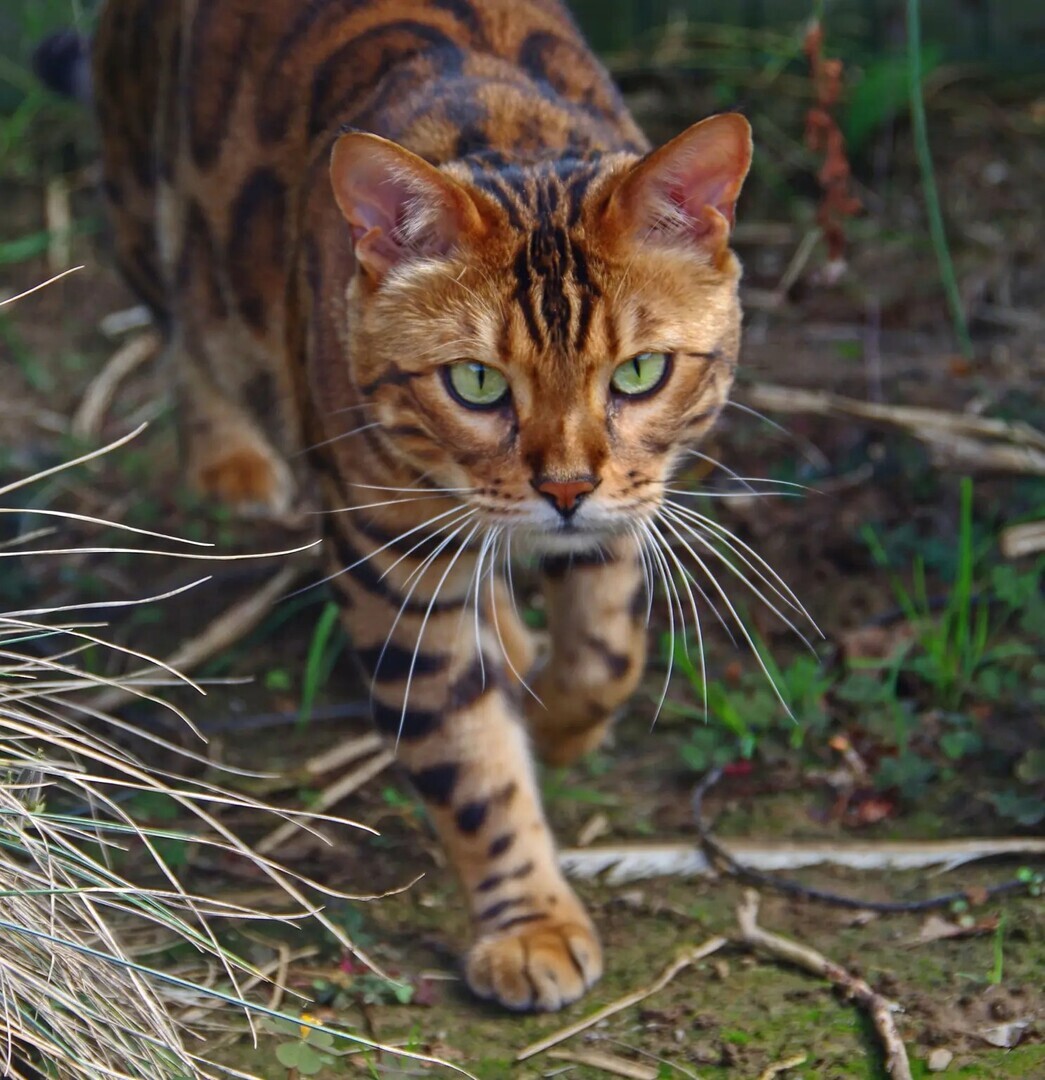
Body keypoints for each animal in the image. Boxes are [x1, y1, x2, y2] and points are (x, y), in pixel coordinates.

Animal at [83, 0, 751, 1010]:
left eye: (639, 372)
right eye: (475, 383)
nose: (564, 487)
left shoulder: (627, 500)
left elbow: (607, 648)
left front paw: (557, 722)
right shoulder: (389, 560)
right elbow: (468, 761)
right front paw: (530, 925)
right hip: (143, 199)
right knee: (183, 326)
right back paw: (229, 462)